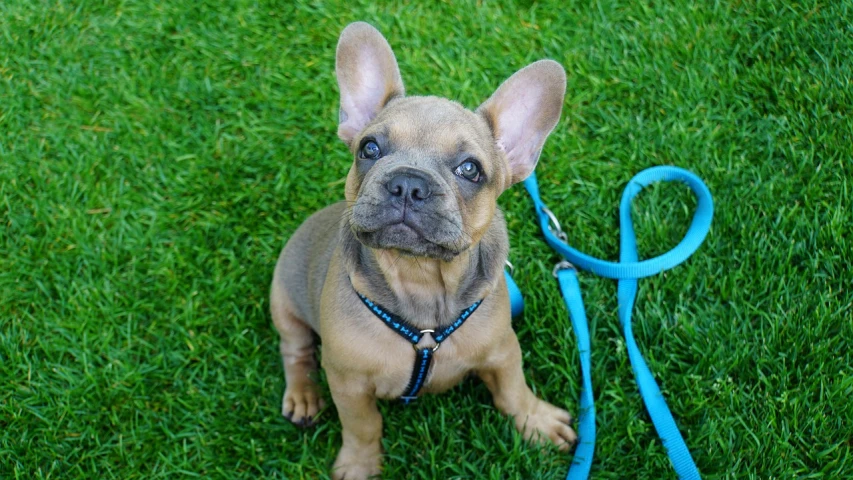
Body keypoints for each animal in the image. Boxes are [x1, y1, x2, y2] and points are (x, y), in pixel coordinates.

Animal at [270, 20, 576, 478]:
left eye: (470, 169)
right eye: (369, 148)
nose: (408, 183)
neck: (421, 279)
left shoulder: (503, 352)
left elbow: (513, 392)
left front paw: (535, 421)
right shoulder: (348, 383)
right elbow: (363, 425)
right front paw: (359, 464)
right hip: (284, 301)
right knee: (296, 351)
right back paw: (303, 395)